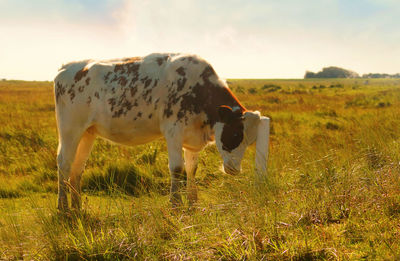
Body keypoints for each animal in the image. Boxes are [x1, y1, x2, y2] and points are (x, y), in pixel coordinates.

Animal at [53, 52, 268, 209]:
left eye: (249, 141)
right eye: (235, 134)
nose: (234, 169)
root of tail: (67, 67)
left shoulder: (191, 137)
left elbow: (192, 168)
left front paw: (193, 202)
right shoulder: (173, 130)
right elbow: (177, 168)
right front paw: (175, 204)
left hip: (87, 132)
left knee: (77, 167)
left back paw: (77, 206)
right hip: (70, 129)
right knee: (64, 163)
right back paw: (63, 207)